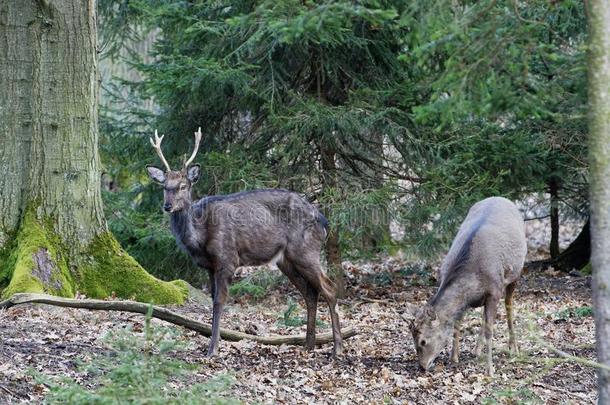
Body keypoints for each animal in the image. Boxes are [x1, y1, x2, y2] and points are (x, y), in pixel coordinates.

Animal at [144, 128, 340, 356]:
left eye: (183, 186)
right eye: (164, 187)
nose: (167, 206)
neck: (199, 238)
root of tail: (324, 220)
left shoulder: (227, 259)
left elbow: (219, 301)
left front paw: (213, 348)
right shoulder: (209, 267)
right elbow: (212, 300)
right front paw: (212, 344)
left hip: (306, 251)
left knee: (329, 289)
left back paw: (337, 349)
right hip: (286, 260)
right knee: (310, 293)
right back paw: (308, 345)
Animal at [410, 196, 524, 376]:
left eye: (423, 341)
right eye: (412, 338)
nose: (422, 367)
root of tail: (501, 198)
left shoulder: (494, 290)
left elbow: (490, 331)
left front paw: (490, 370)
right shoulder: (465, 300)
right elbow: (457, 324)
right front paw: (454, 358)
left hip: (514, 276)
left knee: (509, 306)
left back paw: (514, 348)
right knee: (484, 317)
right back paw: (476, 350)